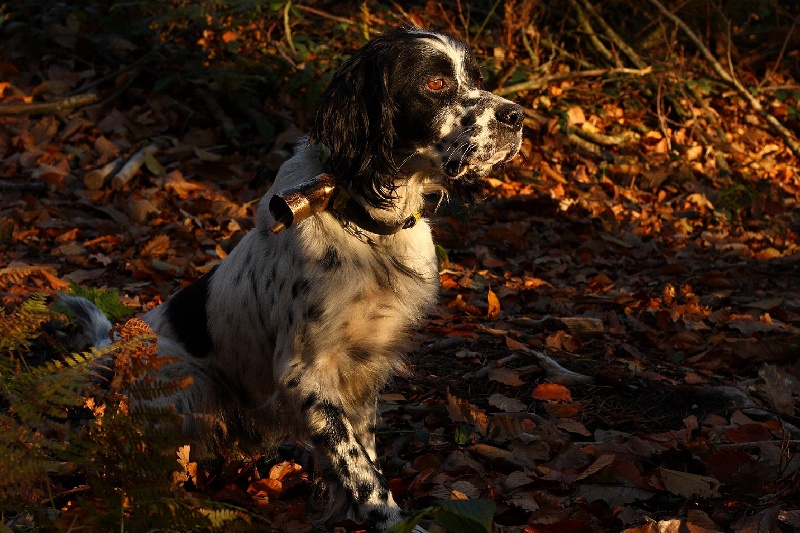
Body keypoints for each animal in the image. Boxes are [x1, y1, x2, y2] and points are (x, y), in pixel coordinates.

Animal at [64, 25, 524, 528]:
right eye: (436, 83)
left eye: (473, 77)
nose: (517, 116)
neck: (365, 222)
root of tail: (113, 349)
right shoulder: (305, 374)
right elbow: (357, 464)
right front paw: (389, 518)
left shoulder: (363, 367)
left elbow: (362, 450)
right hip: (184, 381)